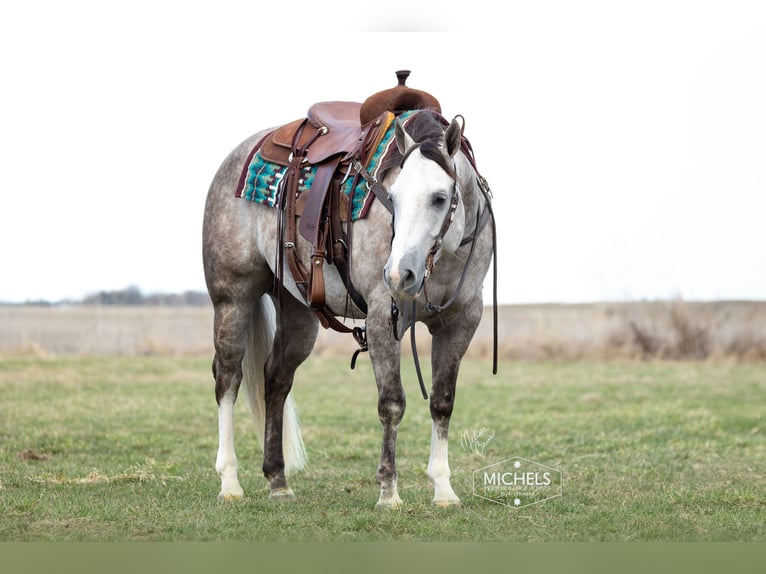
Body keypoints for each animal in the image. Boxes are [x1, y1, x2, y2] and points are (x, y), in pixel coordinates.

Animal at [201, 103, 496, 508]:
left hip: (299, 312)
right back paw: (230, 481)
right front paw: (389, 491)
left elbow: (442, 401)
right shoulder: (382, 316)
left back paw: (278, 480)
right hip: (232, 297)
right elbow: (392, 402)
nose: (399, 273)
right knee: (228, 378)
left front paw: (443, 489)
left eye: (439, 197)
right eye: (392, 198)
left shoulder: (462, 321)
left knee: (276, 379)